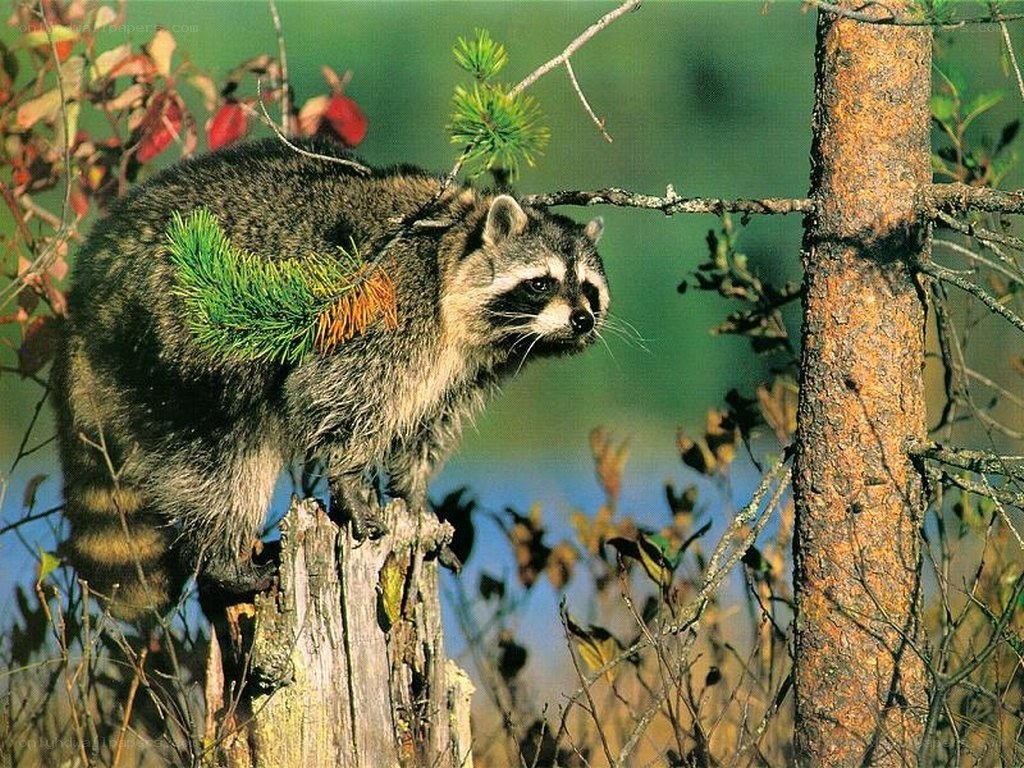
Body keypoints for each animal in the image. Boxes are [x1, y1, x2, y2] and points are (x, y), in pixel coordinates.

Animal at [50, 138, 608, 620]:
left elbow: (424, 428)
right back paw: (223, 556)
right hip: (179, 336)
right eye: (541, 284)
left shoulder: (467, 372)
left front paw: (415, 499)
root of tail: (86, 292)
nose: (583, 321)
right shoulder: (388, 304)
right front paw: (349, 477)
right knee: (222, 452)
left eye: (589, 289)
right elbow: (333, 393)